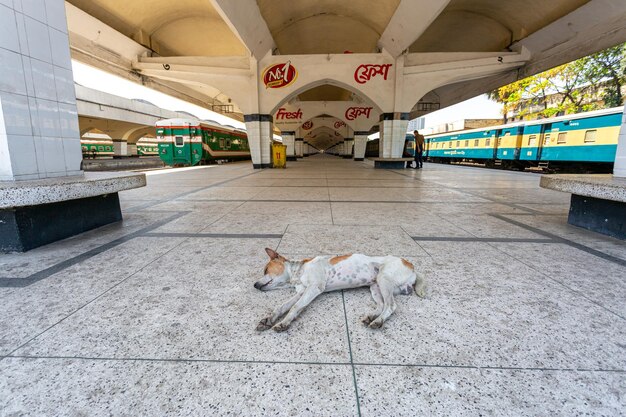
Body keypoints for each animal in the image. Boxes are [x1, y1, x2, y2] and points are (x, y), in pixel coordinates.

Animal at [252, 247, 424, 332]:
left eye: (265, 270)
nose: (254, 285)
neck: (298, 273)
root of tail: (411, 266)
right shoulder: (302, 292)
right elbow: (282, 307)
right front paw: (269, 319)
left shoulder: (314, 288)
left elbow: (295, 307)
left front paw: (284, 323)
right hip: (375, 287)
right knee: (382, 305)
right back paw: (372, 317)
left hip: (384, 279)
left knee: (391, 305)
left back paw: (378, 321)